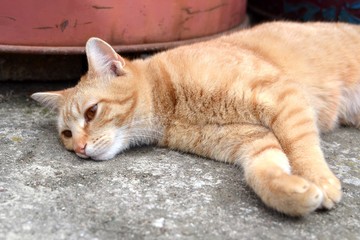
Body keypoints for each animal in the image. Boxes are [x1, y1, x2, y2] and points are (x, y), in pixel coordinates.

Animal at [31, 21, 360, 217]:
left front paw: (319, 179)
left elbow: (301, 147)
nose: (80, 149)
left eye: (91, 112)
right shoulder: (251, 138)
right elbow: (263, 172)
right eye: (67, 135)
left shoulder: (283, 97)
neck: (173, 105)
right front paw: (294, 194)